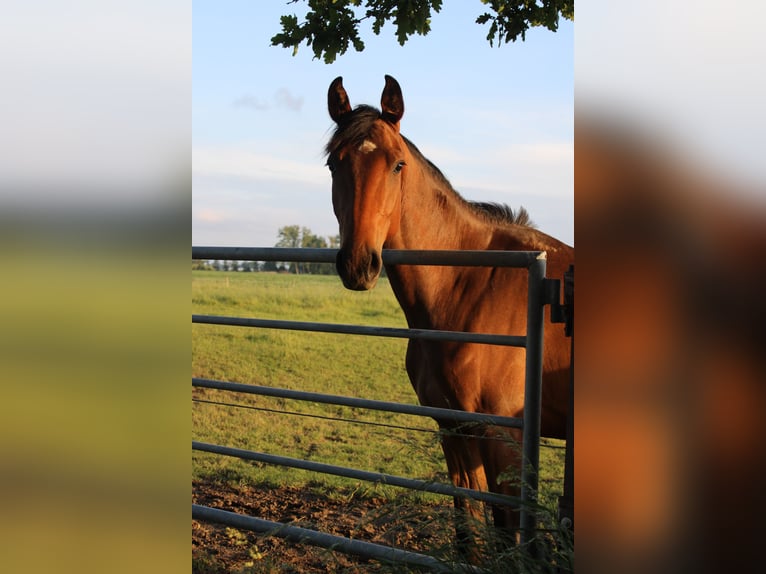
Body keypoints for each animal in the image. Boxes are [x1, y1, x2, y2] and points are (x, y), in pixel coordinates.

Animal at [325, 75, 574, 551]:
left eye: (397, 165)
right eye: (333, 164)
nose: (358, 264)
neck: (467, 283)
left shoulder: (503, 437)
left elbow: (505, 533)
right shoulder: (453, 428)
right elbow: (467, 530)